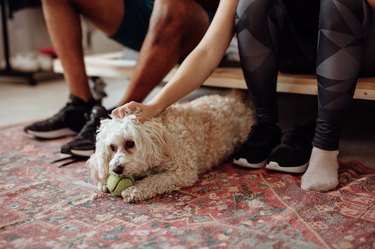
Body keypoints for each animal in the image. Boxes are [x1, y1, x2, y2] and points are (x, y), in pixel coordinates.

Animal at [88, 90, 258, 202]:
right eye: (112, 147)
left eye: (130, 143)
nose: (116, 169)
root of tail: (235, 99)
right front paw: (104, 182)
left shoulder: (183, 172)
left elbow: (156, 180)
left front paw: (134, 190)